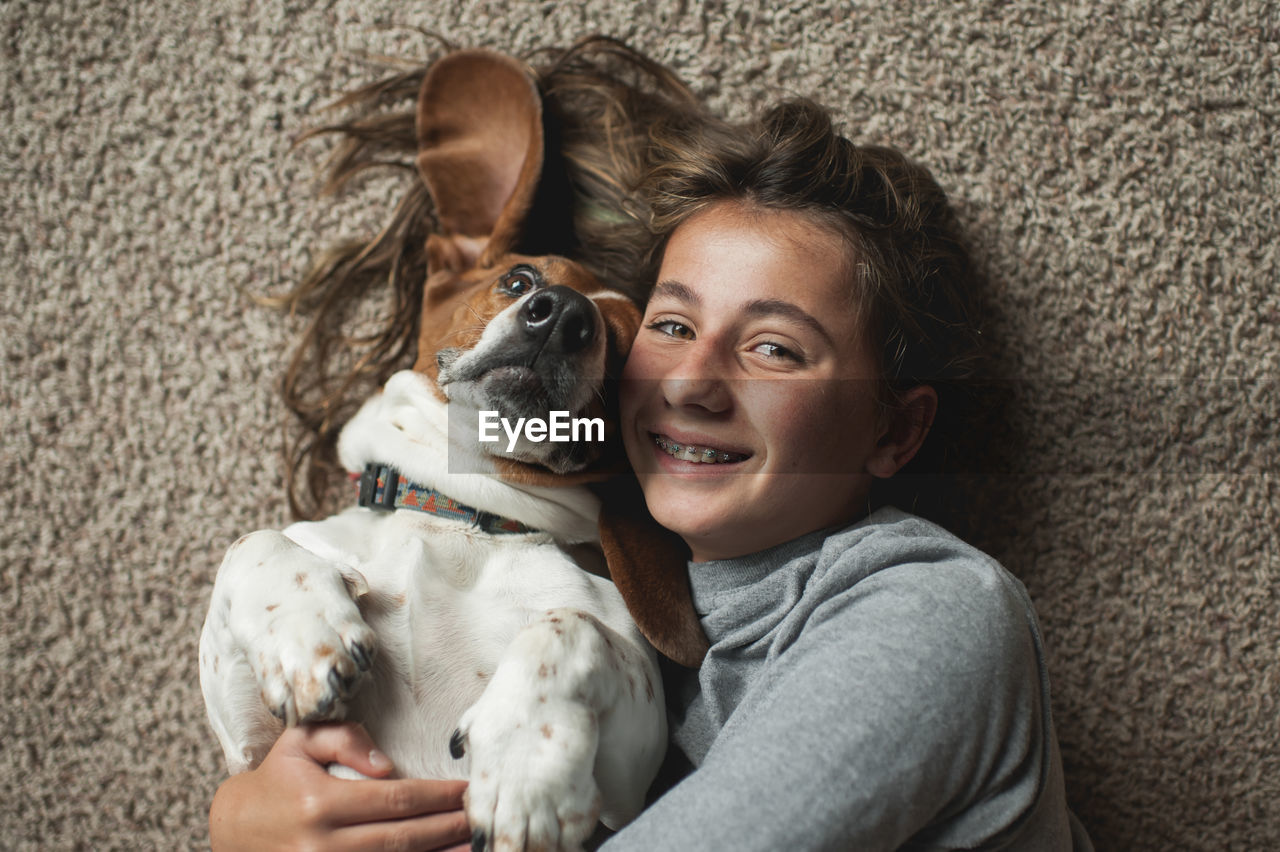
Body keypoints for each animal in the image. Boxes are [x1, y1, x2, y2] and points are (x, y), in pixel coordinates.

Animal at [194, 49, 706, 844]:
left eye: (626, 350)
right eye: (519, 278)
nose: (562, 315)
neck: (461, 517)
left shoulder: (631, 774)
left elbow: (572, 628)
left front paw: (526, 766)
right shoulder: (251, 748)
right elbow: (252, 543)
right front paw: (306, 635)